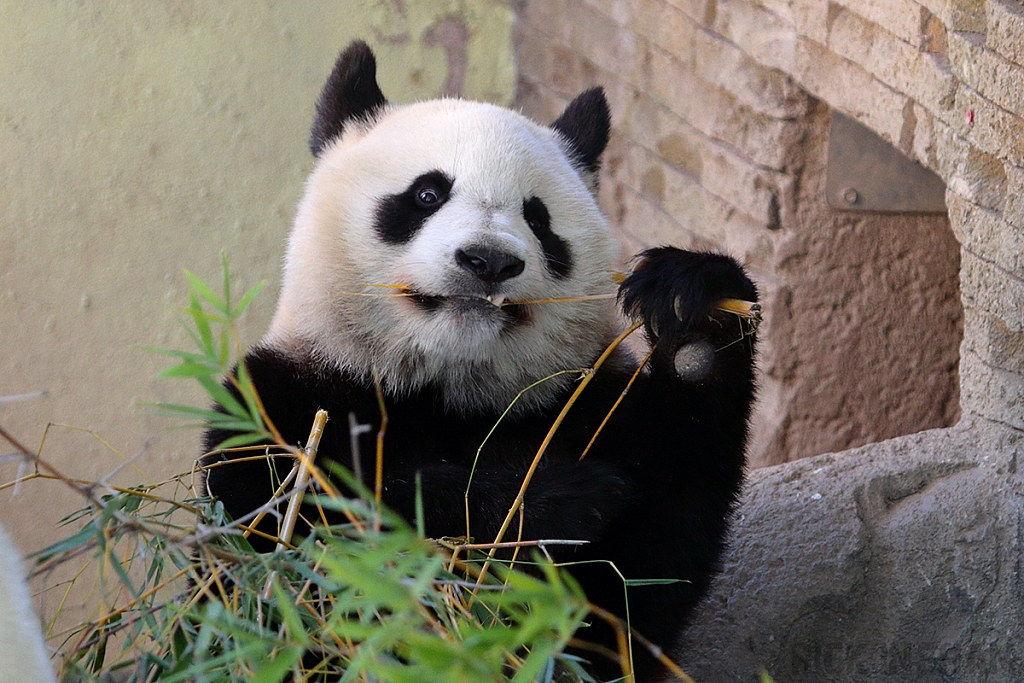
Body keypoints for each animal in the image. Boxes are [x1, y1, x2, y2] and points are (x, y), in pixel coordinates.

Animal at [203, 40, 757, 679]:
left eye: (538, 218)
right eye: (427, 194)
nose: (488, 261)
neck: (449, 386)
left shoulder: (585, 405)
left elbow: (641, 581)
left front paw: (697, 312)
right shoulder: (282, 403)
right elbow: (300, 544)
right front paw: (548, 497)